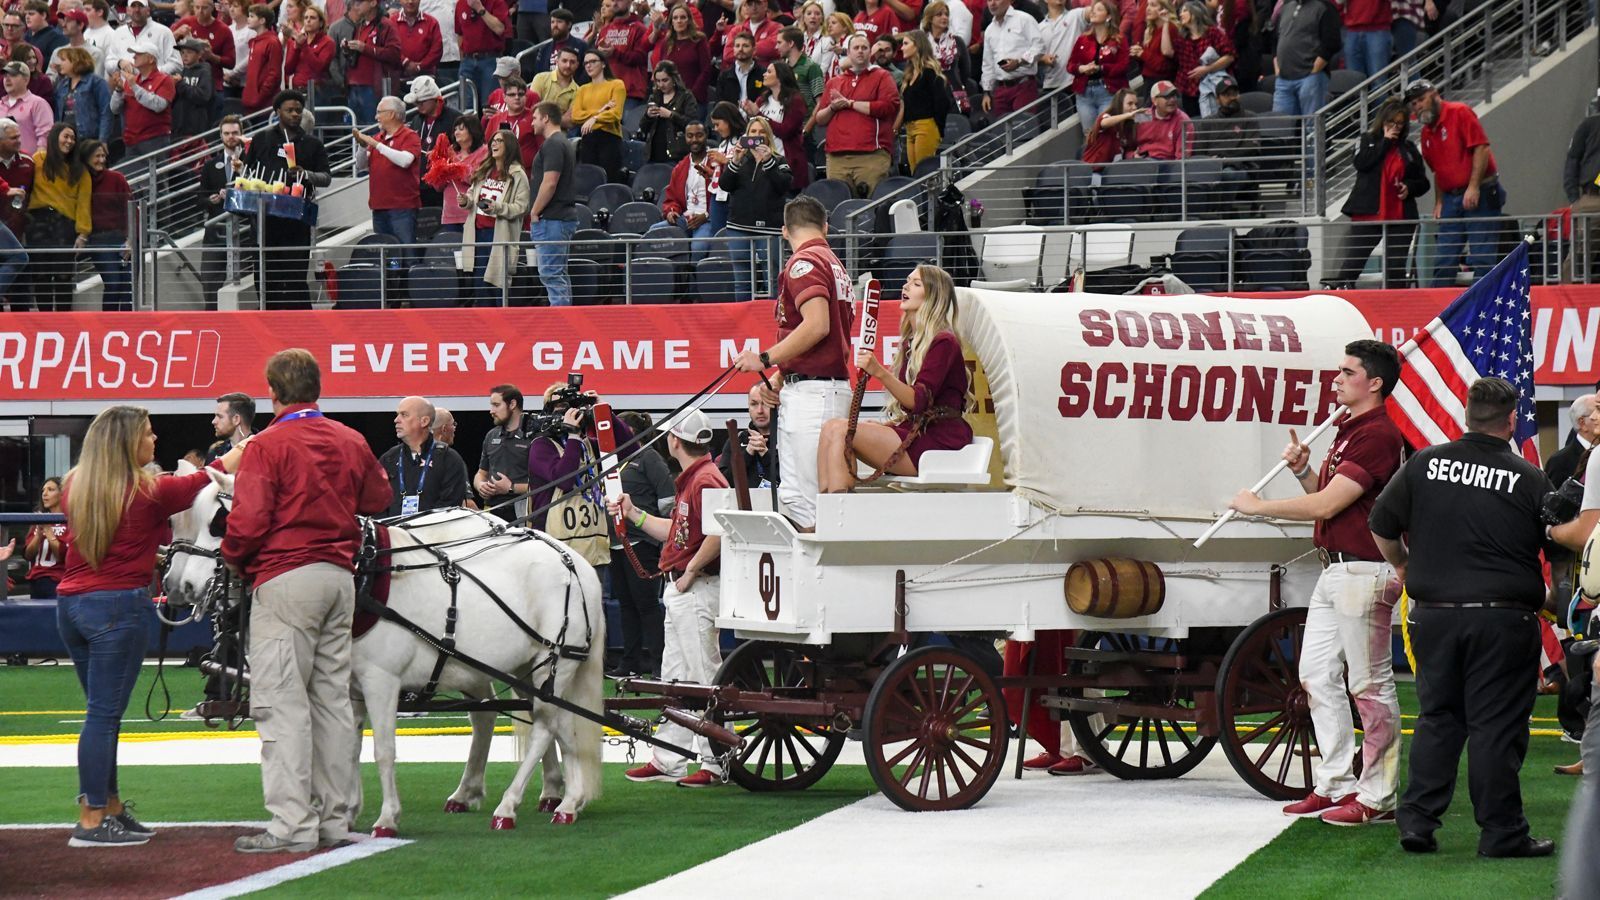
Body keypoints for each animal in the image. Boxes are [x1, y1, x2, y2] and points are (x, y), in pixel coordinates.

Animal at [167, 470, 604, 832]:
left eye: (218, 522)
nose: (179, 586)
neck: (363, 575)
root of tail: (576, 563)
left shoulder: (381, 680)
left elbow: (384, 749)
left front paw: (387, 818)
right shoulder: (349, 684)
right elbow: (347, 744)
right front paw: (347, 812)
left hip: (554, 663)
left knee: (546, 726)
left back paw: (512, 806)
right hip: (519, 667)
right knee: (549, 724)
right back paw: (564, 799)